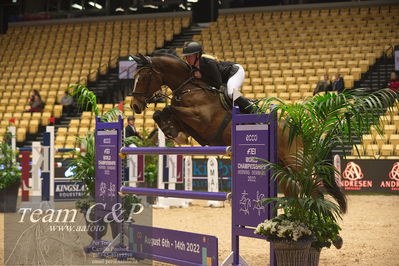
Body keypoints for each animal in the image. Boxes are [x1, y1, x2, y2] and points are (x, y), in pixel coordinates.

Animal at [130, 53, 346, 213]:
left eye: (145, 77)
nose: (135, 106)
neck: (190, 88)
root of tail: (299, 129)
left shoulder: (202, 119)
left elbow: (171, 109)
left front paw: (170, 128)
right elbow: (162, 113)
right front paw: (170, 129)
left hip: (296, 162)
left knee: (315, 191)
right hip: (281, 167)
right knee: (294, 191)